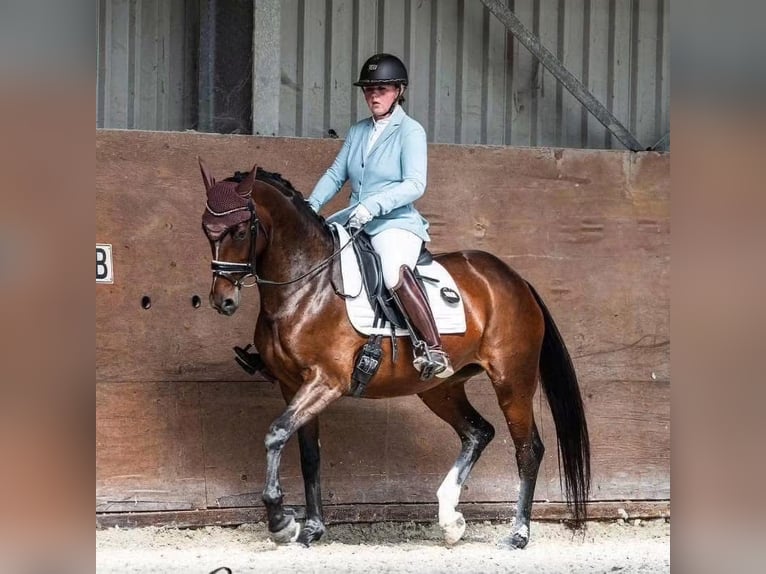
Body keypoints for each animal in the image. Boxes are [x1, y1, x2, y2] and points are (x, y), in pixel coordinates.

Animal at [198, 158, 590, 549]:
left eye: (240, 231)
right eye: (206, 230)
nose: (223, 301)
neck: (307, 287)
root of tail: (515, 280)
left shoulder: (326, 381)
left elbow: (276, 433)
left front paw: (281, 521)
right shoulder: (291, 384)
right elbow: (309, 455)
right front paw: (311, 528)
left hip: (512, 380)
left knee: (528, 449)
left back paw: (517, 534)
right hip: (441, 388)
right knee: (478, 432)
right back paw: (450, 520)